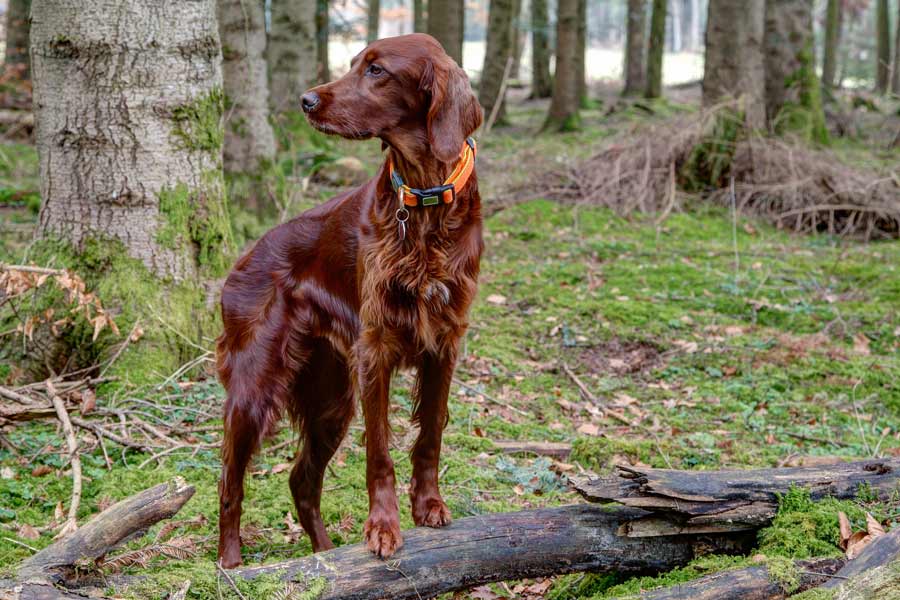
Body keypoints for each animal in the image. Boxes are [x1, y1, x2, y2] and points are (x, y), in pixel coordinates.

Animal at [216, 32, 486, 568]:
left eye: (377, 71)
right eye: (356, 62)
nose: (306, 100)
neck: (423, 196)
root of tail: (244, 258)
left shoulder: (446, 340)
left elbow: (431, 433)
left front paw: (429, 505)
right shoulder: (374, 348)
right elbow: (379, 452)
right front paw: (383, 528)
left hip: (330, 399)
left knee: (301, 480)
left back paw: (325, 556)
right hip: (256, 386)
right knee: (230, 480)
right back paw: (230, 563)